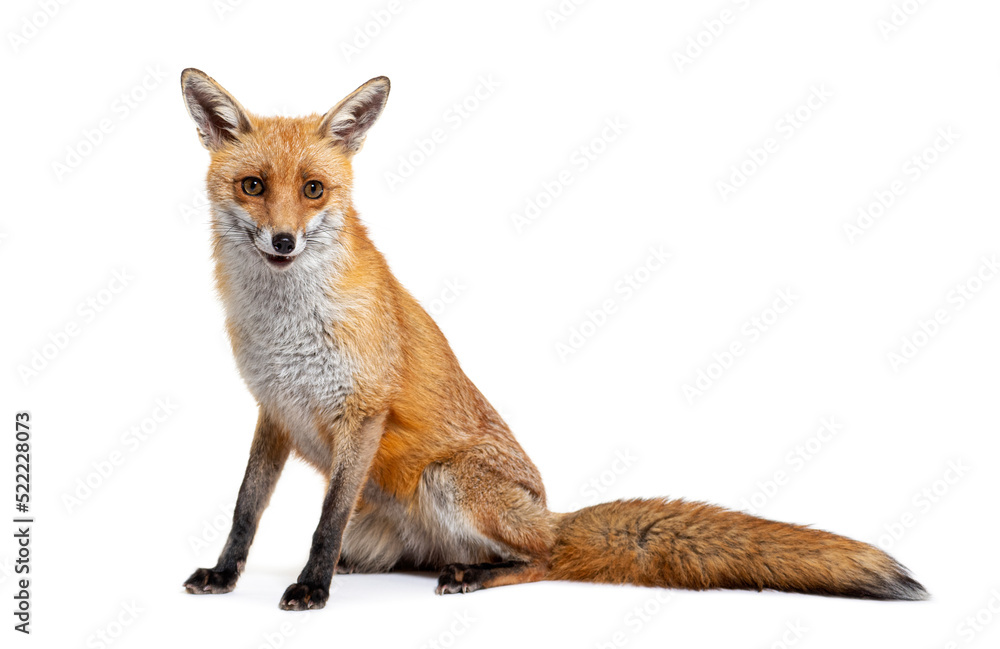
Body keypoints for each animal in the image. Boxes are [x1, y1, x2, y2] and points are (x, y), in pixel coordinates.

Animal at [179, 68, 927, 611]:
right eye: (253, 185)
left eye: (313, 189)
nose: (284, 241)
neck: (282, 324)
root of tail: (550, 514)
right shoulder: (275, 411)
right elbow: (246, 508)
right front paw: (225, 574)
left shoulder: (361, 412)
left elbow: (323, 521)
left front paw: (311, 587)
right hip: (384, 534)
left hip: (449, 482)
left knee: (543, 559)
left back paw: (475, 576)